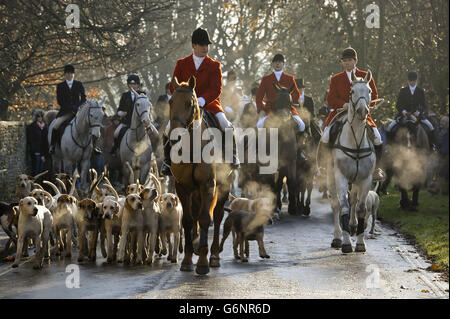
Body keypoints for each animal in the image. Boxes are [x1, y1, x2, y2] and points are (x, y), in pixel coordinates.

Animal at [169, 75, 232, 276]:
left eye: (190, 103)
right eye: (171, 102)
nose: (174, 137)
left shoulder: (208, 185)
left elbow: (205, 218)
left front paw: (203, 262)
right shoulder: (182, 187)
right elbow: (188, 221)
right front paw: (188, 259)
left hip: (223, 187)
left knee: (217, 217)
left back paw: (214, 255)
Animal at [262, 84, 300, 216]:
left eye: (290, 102)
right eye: (276, 102)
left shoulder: (291, 161)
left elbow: (291, 182)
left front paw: (293, 207)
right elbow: (275, 184)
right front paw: (275, 207)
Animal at [326, 70, 376, 255]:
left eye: (369, 91)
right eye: (351, 91)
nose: (362, 111)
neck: (355, 142)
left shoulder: (365, 178)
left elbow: (361, 208)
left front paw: (360, 243)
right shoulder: (340, 176)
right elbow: (344, 207)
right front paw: (346, 243)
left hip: (355, 180)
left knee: (354, 199)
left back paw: (353, 226)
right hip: (331, 177)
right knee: (335, 204)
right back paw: (337, 237)